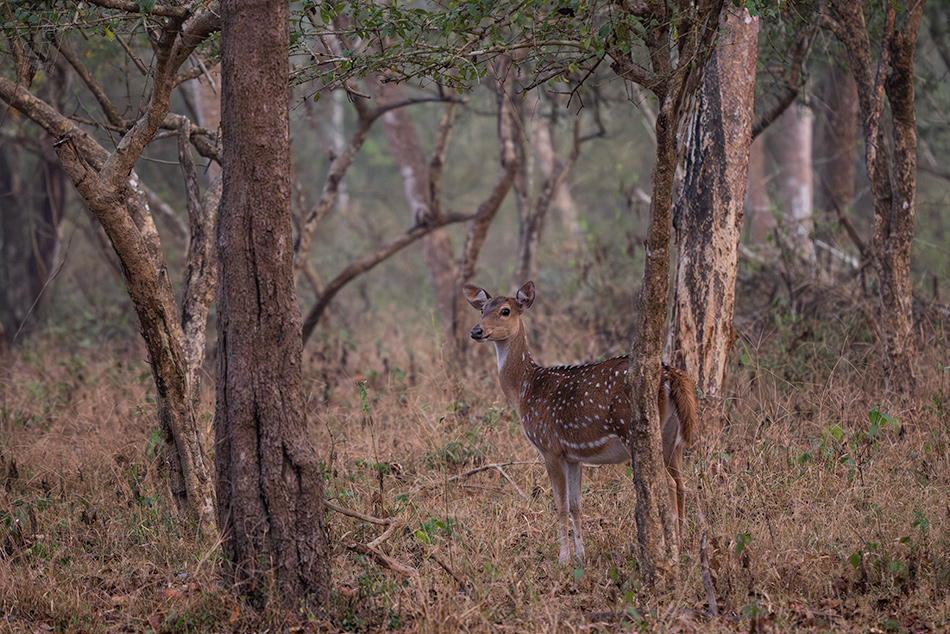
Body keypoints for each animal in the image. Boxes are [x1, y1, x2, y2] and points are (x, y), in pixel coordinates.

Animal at [462, 280, 700, 564]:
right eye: (482, 309)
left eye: (505, 311)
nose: (476, 331)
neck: (525, 391)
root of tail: (672, 375)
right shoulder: (573, 455)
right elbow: (576, 505)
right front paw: (580, 556)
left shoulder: (549, 447)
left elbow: (560, 504)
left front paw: (563, 558)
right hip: (671, 438)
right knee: (681, 483)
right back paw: (683, 543)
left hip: (635, 431)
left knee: (667, 483)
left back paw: (671, 549)